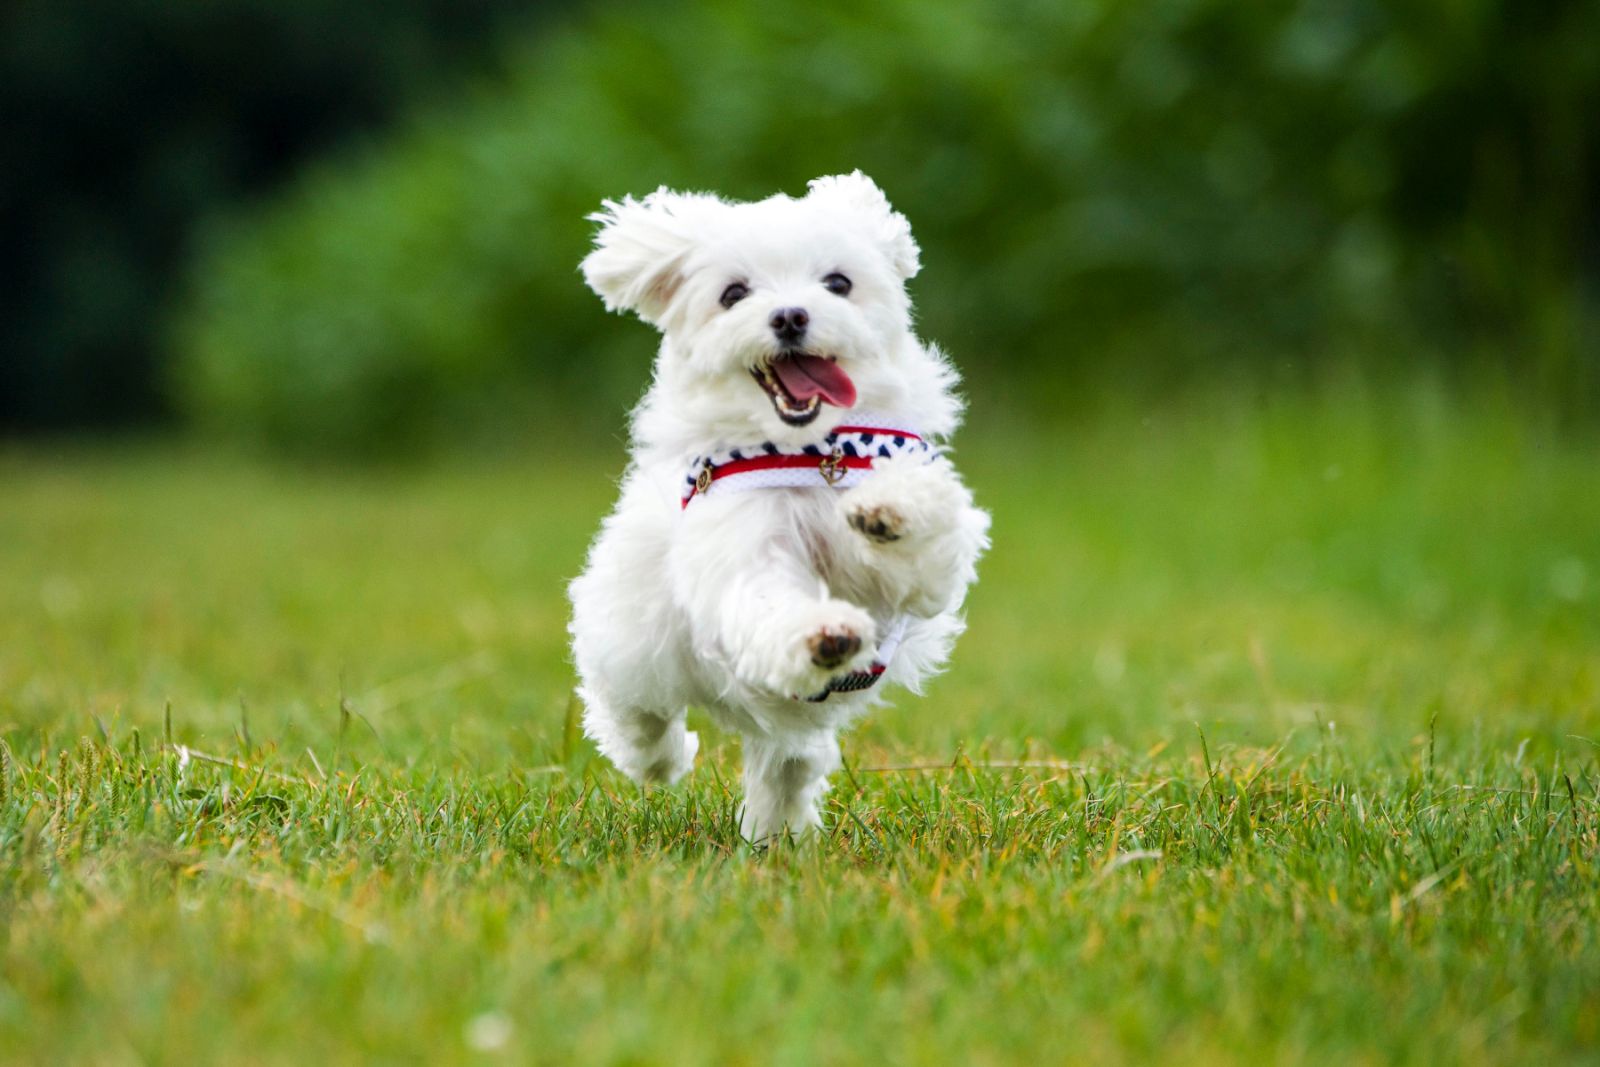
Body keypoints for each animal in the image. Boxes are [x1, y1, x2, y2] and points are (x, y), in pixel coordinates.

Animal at [563, 175, 985, 844]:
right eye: (734, 293)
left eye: (837, 283)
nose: (790, 316)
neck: (810, 451)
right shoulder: (742, 553)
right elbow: (769, 600)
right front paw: (824, 634)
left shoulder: (917, 577)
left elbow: (928, 540)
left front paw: (886, 510)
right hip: (633, 640)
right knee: (638, 717)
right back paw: (662, 759)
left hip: (785, 732)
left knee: (786, 762)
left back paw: (775, 834)